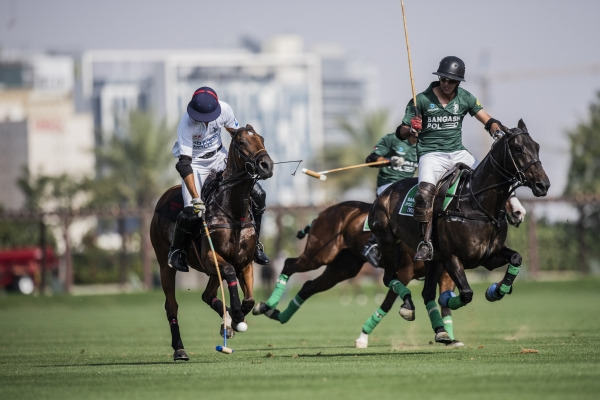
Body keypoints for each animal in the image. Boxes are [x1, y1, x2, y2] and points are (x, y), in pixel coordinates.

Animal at [150, 123, 274, 360]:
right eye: (241, 142)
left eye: (262, 139)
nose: (266, 165)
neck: (234, 213)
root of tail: (164, 196)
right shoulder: (210, 257)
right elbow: (231, 275)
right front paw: (235, 316)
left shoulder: (245, 262)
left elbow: (249, 300)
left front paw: (235, 320)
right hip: (164, 264)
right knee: (171, 305)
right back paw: (180, 349)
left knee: (207, 295)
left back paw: (226, 323)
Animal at [253, 199, 524, 346]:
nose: (519, 213)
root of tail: (322, 212)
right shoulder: (403, 271)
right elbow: (390, 301)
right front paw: (363, 336)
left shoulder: (444, 269)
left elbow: (443, 300)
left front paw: (447, 334)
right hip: (321, 253)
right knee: (290, 264)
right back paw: (264, 306)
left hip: (344, 266)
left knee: (309, 285)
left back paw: (280, 314)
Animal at [368, 119, 552, 344]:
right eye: (518, 148)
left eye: (537, 147)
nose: (543, 185)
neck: (476, 205)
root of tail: (386, 192)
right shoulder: (452, 257)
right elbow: (465, 293)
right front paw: (450, 298)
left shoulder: (488, 257)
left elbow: (516, 258)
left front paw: (496, 290)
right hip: (387, 239)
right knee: (389, 278)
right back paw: (408, 307)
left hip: (433, 259)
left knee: (427, 293)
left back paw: (441, 331)